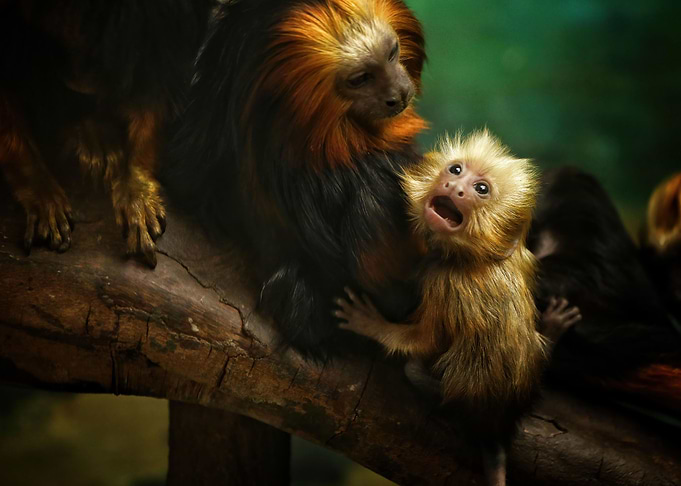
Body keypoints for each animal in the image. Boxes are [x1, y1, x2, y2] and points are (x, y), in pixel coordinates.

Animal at [335, 130, 552, 486]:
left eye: (481, 189)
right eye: (456, 169)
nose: (455, 187)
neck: (476, 259)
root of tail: (492, 420)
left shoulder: (444, 282)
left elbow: (427, 340)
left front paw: (370, 324)